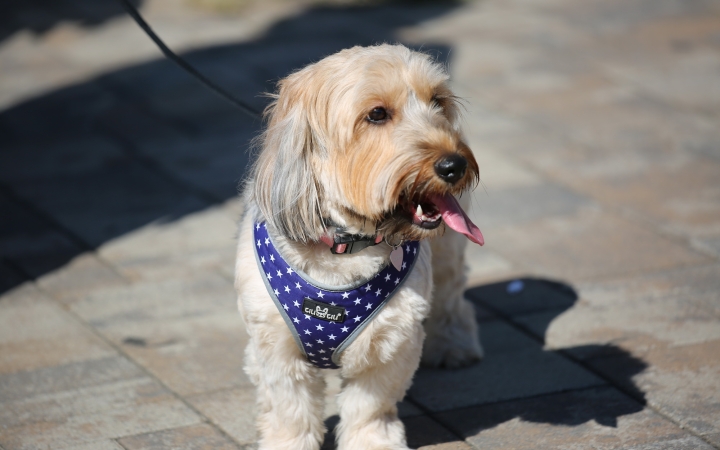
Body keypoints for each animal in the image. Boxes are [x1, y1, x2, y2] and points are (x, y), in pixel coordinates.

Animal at [236, 43, 484, 450]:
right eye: (377, 114)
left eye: (438, 101)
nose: (455, 165)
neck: (344, 245)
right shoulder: (276, 348)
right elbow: (290, 410)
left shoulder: (390, 343)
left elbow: (369, 406)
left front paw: (374, 441)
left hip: (447, 256)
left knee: (451, 295)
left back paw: (454, 345)